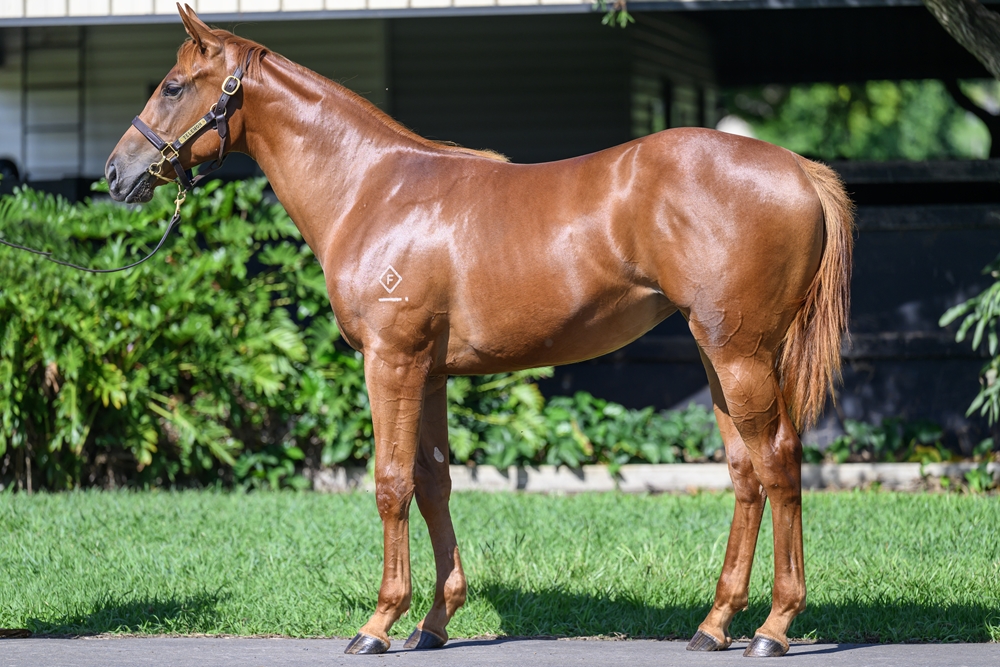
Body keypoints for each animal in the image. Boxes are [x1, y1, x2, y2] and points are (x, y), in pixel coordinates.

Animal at [107, 5, 852, 660]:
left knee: (779, 460)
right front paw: (433, 622)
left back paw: (774, 627)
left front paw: (378, 623)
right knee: (746, 472)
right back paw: (715, 624)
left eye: (173, 85)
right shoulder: (430, 372)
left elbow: (390, 483)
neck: (373, 188)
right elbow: (433, 482)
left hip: (741, 355)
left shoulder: (391, 362)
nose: (117, 173)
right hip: (716, 354)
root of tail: (797, 167)